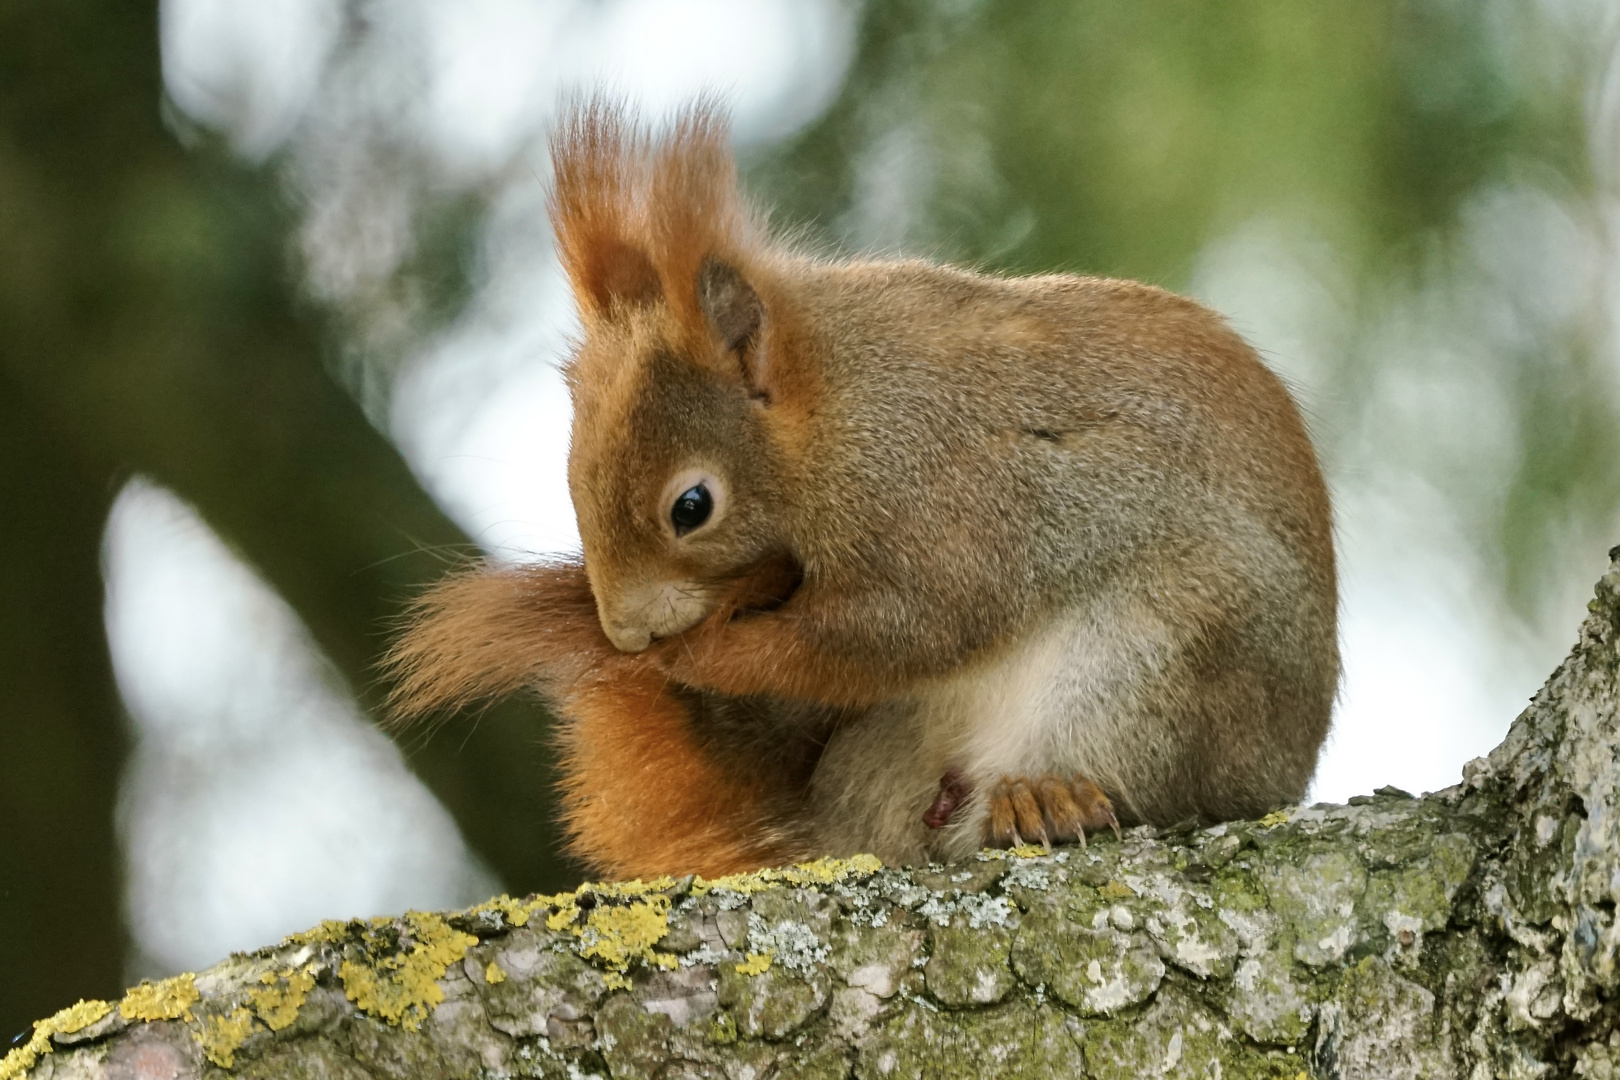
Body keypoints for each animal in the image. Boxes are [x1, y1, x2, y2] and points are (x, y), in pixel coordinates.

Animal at [385, 97, 1334, 880]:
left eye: (692, 506)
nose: (624, 632)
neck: (829, 410)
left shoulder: (946, 497)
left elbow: (898, 631)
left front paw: (702, 654)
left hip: (1163, 659)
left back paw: (1047, 795)